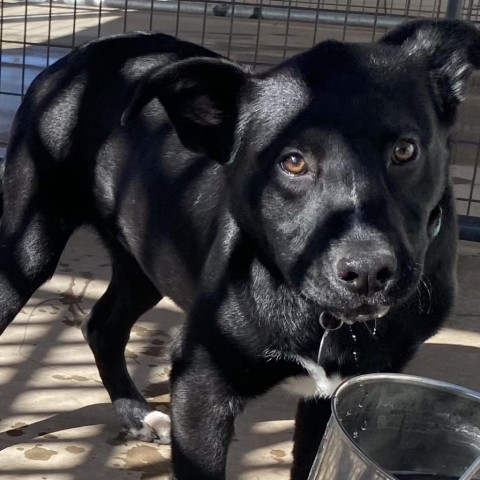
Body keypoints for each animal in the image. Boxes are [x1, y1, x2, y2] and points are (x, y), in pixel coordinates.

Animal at [0, 18, 476, 480]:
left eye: (405, 150)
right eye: (293, 161)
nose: (368, 272)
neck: (323, 319)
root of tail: (77, 55)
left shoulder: (339, 397)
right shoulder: (201, 384)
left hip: (147, 259)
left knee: (103, 325)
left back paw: (135, 414)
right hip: (28, 248)